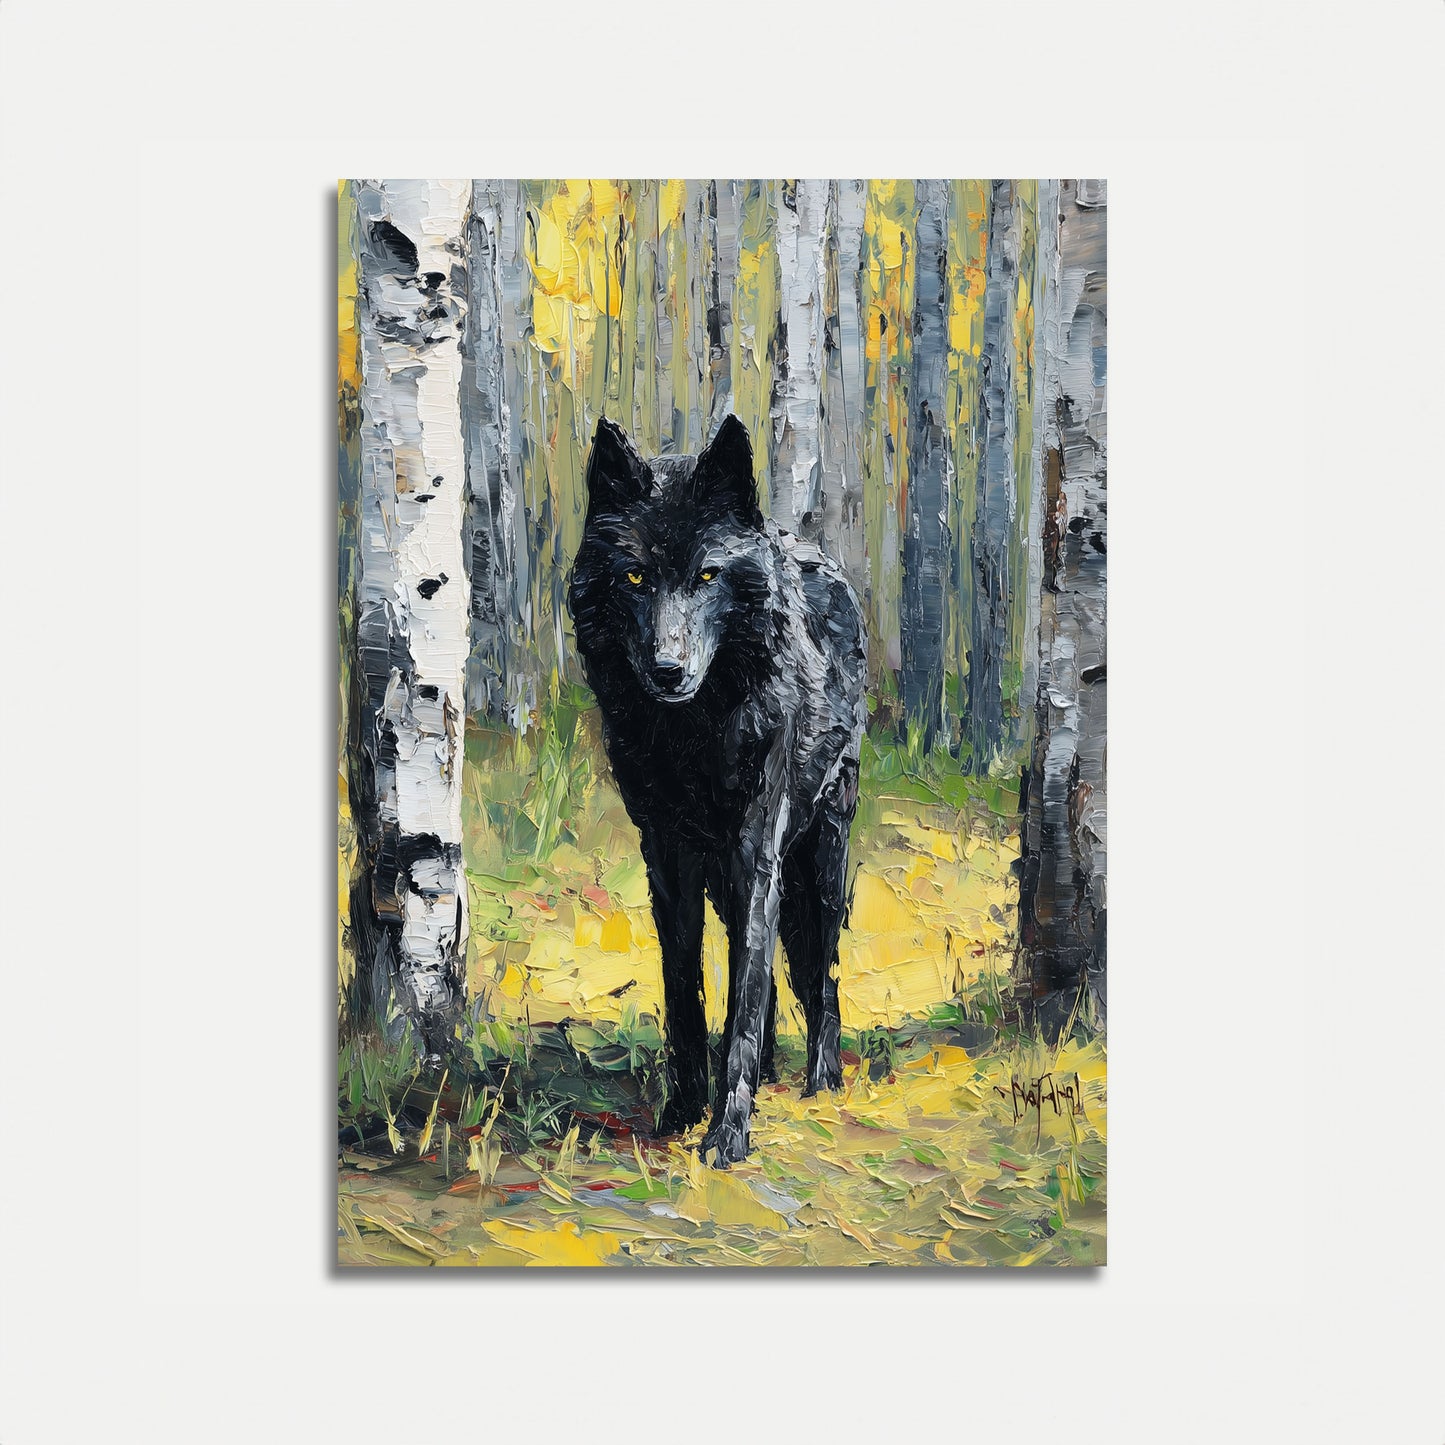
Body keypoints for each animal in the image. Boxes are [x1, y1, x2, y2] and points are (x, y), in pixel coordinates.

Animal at [568, 414, 867, 1166]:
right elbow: (687, 991)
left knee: (821, 973)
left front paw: (728, 1133)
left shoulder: (754, 851)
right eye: (635, 575)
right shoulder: (667, 858)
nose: (667, 670)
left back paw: (820, 1081)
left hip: (820, 858)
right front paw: (681, 1111)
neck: (693, 737)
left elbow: (747, 992)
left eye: (707, 574)